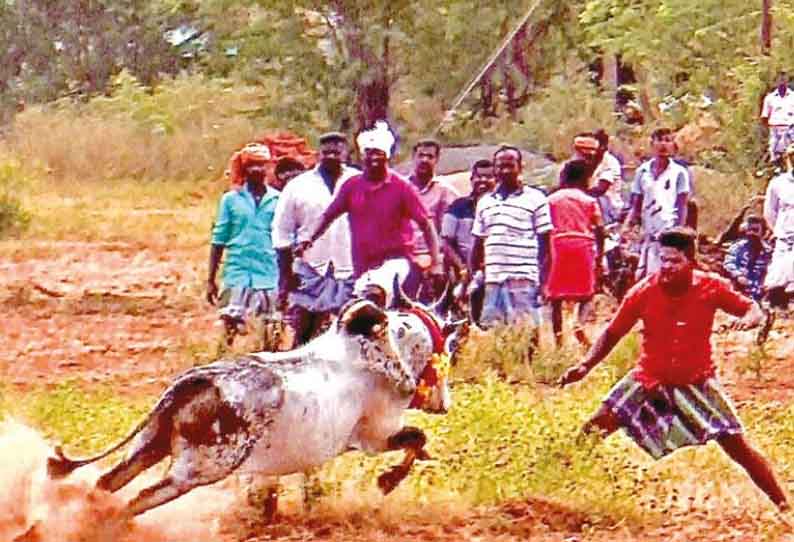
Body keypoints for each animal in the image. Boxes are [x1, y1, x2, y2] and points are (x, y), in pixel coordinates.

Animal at [49, 298, 454, 524]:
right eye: (444, 352)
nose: (445, 403)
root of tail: (195, 381)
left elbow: (418, 443)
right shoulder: (377, 436)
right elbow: (416, 439)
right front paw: (388, 481)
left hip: (151, 445)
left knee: (107, 483)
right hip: (195, 471)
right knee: (134, 500)